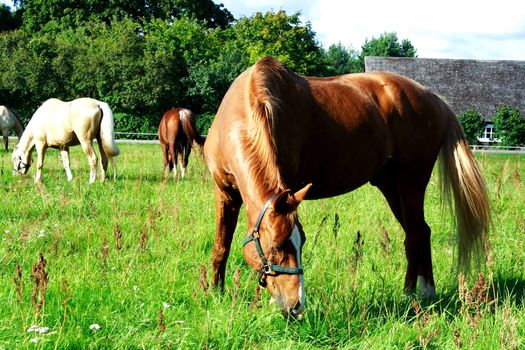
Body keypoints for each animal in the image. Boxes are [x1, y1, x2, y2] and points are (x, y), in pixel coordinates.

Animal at [203, 55, 490, 320]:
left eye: (300, 242)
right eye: (276, 246)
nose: (296, 306)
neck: (244, 112)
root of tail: (435, 99)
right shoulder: (226, 193)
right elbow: (221, 246)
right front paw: (215, 293)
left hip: (411, 180)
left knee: (415, 234)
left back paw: (412, 294)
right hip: (390, 185)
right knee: (420, 231)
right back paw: (424, 291)